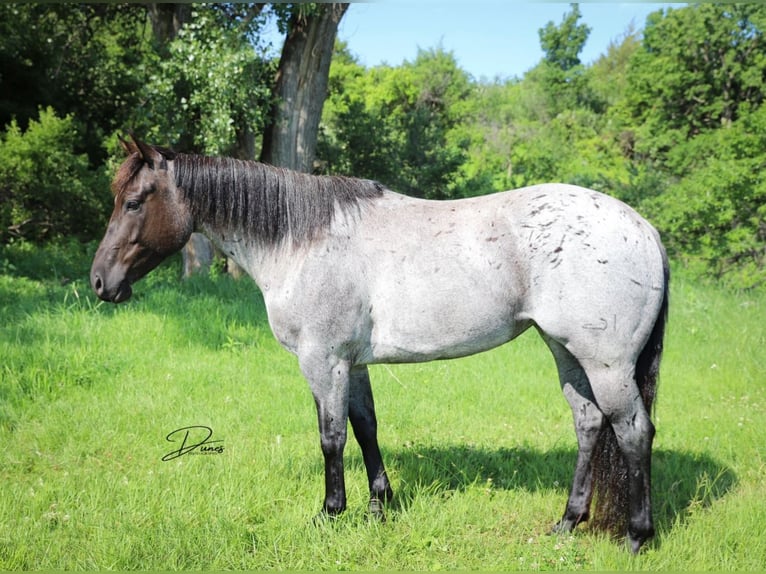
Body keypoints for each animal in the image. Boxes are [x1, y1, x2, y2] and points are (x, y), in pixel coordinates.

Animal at [91, 137, 672, 556]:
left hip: (607, 363)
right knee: (589, 425)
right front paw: (379, 504)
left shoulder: (322, 361)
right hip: (566, 351)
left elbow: (331, 437)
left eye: (135, 202)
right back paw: (567, 523)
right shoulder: (352, 364)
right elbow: (365, 426)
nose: (100, 282)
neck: (301, 241)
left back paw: (636, 537)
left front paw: (330, 512)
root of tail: (644, 228)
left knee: (632, 431)